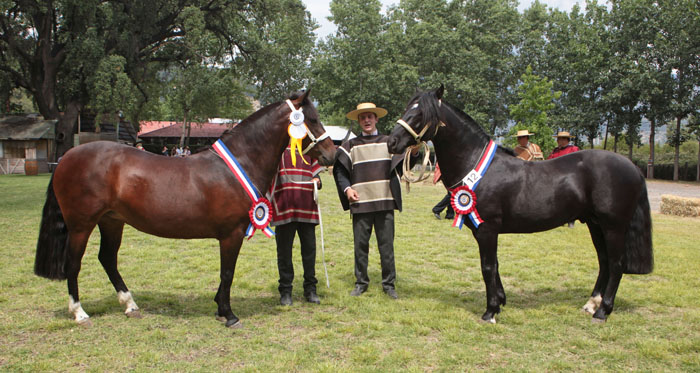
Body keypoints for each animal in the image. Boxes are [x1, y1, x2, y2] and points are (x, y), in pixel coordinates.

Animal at [34, 89, 334, 326]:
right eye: (313, 120)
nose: (331, 154)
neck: (238, 163)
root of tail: (66, 157)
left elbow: (225, 273)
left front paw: (219, 307)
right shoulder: (231, 234)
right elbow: (228, 272)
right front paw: (228, 314)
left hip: (112, 221)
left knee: (107, 259)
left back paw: (130, 305)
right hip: (81, 225)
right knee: (74, 263)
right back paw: (79, 313)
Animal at [386, 86, 652, 322]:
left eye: (421, 114)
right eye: (407, 108)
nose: (392, 142)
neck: (477, 166)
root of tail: (633, 167)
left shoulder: (488, 229)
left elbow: (487, 266)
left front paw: (490, 311)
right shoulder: (482, 231)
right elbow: (495, 265)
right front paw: (501, 301)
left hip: (613, 227)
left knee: (616, 264)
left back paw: (603, 311)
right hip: (595, 225)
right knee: (604, 262)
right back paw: (591, 304)